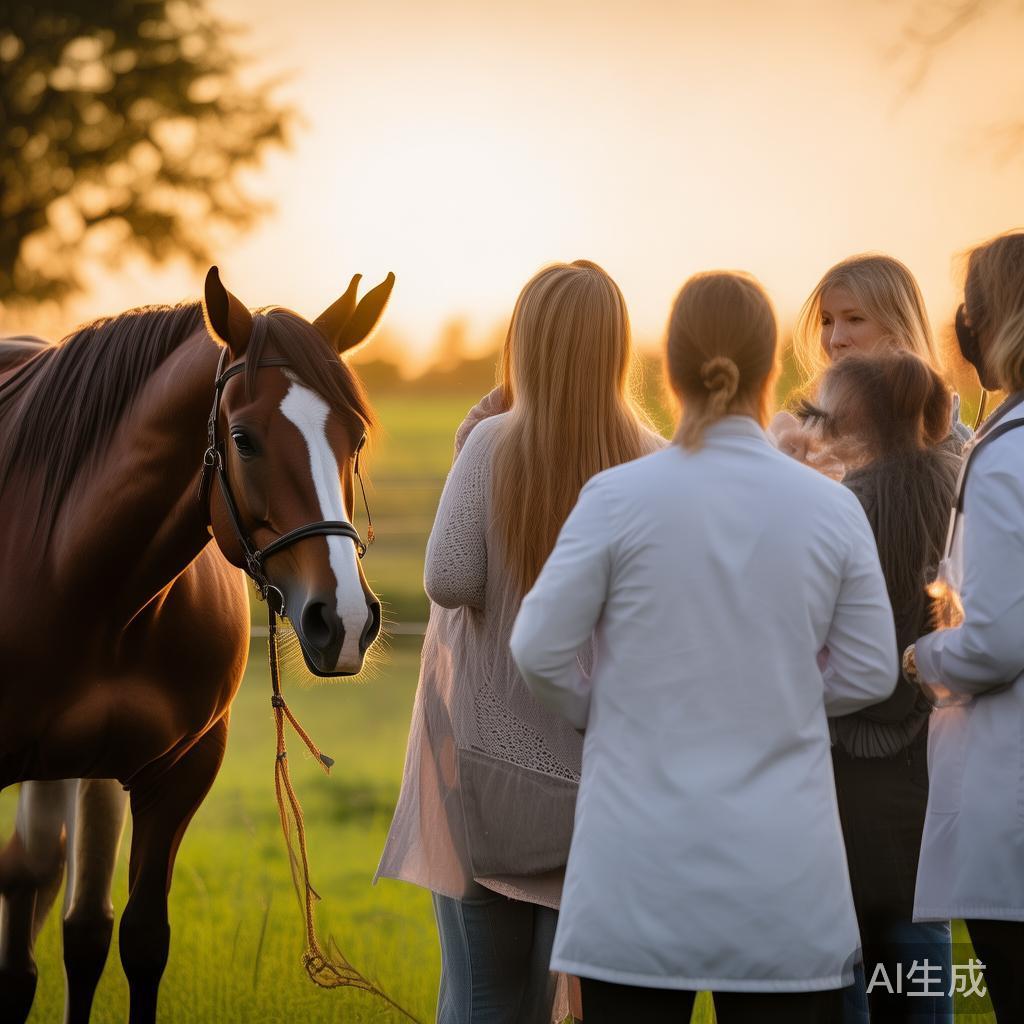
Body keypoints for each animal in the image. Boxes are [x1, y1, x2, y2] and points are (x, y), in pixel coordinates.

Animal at [0, 266, 393, 1024]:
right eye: (242, 438)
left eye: (355, 436)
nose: (345, 620)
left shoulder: (179, 774)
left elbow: (141, 940)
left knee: (79, 924)